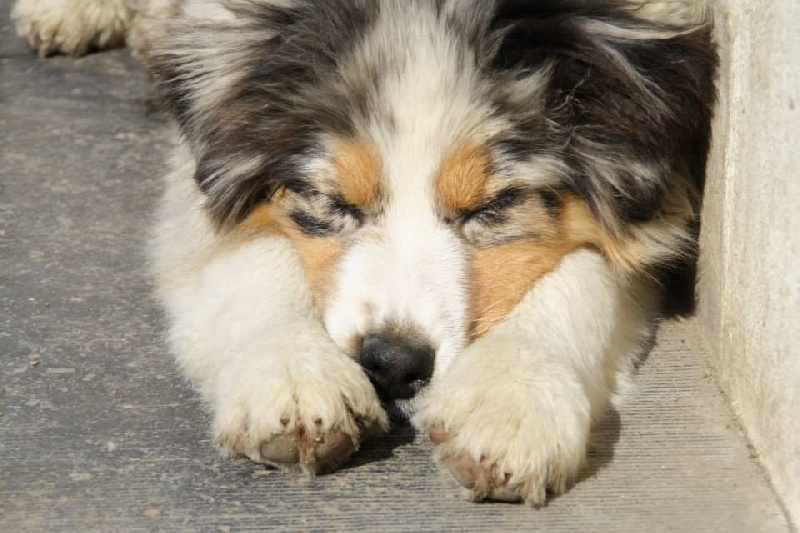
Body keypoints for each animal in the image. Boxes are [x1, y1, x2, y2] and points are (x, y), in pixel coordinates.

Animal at [13, 0, 718, 506]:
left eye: (491, 208)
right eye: (335, 200)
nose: (393, 365)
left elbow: (591, 270)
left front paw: (510, 407)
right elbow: (249, 259)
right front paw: (294, 380)